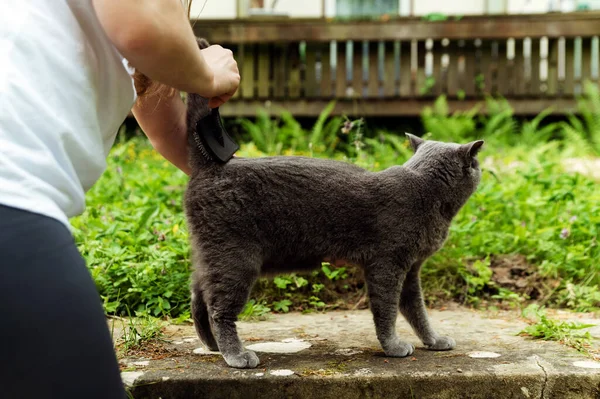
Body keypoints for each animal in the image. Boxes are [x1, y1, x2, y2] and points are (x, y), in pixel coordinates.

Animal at [183, 39, 482, 370]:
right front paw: (393, 346)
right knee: (219, 308)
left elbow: (417, 310)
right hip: (235, 258)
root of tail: (212, 164)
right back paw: (236, 355)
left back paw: (211, 345)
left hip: (210, 256)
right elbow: (387, 310)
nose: (480, 167)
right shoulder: (387, 265)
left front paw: (434, 340)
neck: (426, 192)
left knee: (197, 296)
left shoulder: (411, 269)